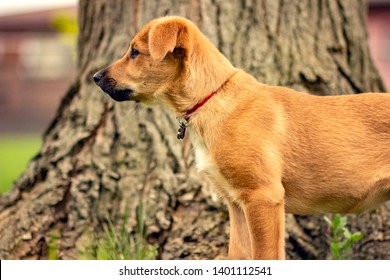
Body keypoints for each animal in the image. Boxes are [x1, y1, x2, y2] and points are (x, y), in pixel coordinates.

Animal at [94, 15, 390, 260]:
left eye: (134, 52)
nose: (95, 77)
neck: (213, 98)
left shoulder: (263, 197)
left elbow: (266, 256)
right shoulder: (237, 205)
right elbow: (238, 254)